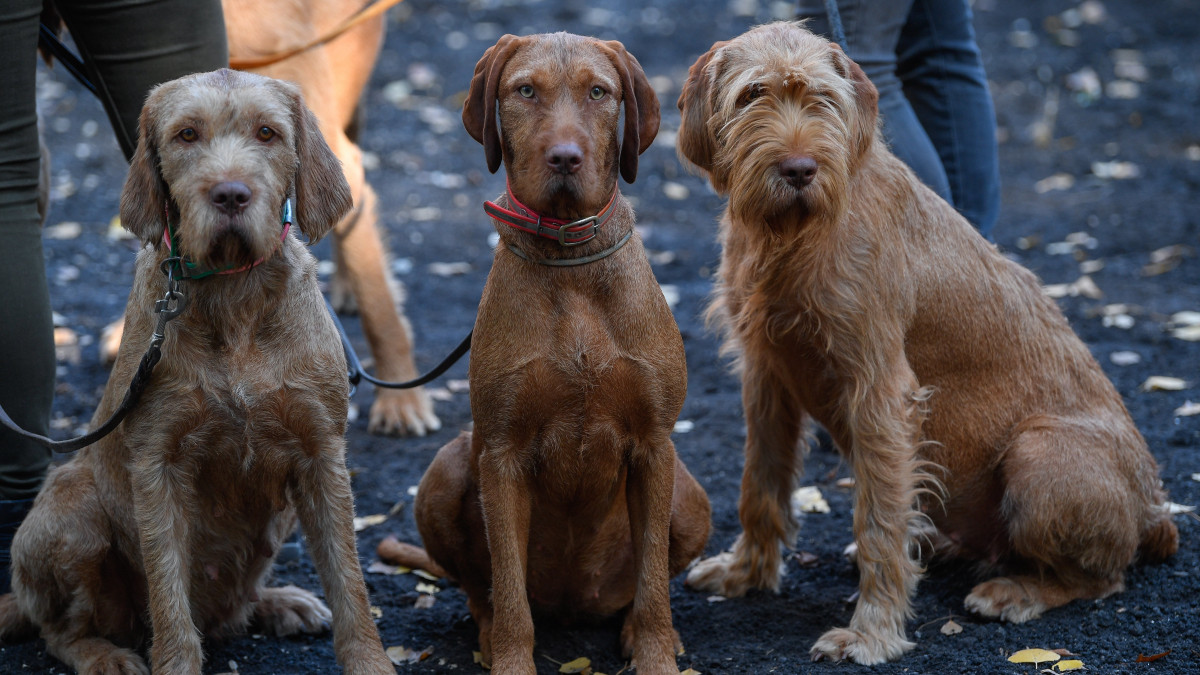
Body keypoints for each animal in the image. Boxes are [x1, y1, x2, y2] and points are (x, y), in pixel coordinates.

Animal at [0, 68, 391, 672]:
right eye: (186, 134)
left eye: (267, 132)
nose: (230, 193)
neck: (233, 294)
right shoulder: (158, 466)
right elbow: (169, 598)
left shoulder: (322, 455)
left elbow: (349, 579)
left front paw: (370, 660)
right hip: (72, 511)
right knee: (62, 629)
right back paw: (103, 654)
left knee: (234, 608)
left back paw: (277, 602)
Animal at [396, 32, 710, 672]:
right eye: (524, 90)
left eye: (599, 92)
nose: (565, 157)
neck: (570, 260)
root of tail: (575, 603)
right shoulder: (501, 455)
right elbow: (511, 594)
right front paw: (512, 659)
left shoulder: (654, 448)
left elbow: (654, 586)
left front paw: (657, 655)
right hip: (445, 470)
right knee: (483, 590)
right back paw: (488, 635)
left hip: (692, 496)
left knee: (641, 588)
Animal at [676, 21, 1180, 662]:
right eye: (752, 95)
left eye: (823, 99)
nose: (799, 168)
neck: (793, 236)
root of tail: (1155, 510)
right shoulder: (766, 375)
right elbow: (759, 486)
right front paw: (746, 575)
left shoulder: (879, 390)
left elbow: (878, 525)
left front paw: (872, 633)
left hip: (1036, 451)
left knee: (1102, 577)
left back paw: (1015, 591)